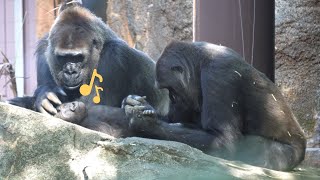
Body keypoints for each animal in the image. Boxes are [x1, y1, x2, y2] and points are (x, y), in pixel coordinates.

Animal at [10, 1, 168, 120]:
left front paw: (38, 97)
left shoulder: (115, 55)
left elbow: (93, 108)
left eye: (78, 57)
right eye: (63, 58)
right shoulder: (45, 48)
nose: (71, 71)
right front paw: (43, 94)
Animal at [123, 41, 308, 172]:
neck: (200, 62)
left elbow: (224, 140)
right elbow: (174, 119)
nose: (172, 99)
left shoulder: (218, 75)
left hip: (288, 155)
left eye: (170, 89)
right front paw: (135, 103)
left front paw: (146, 124)